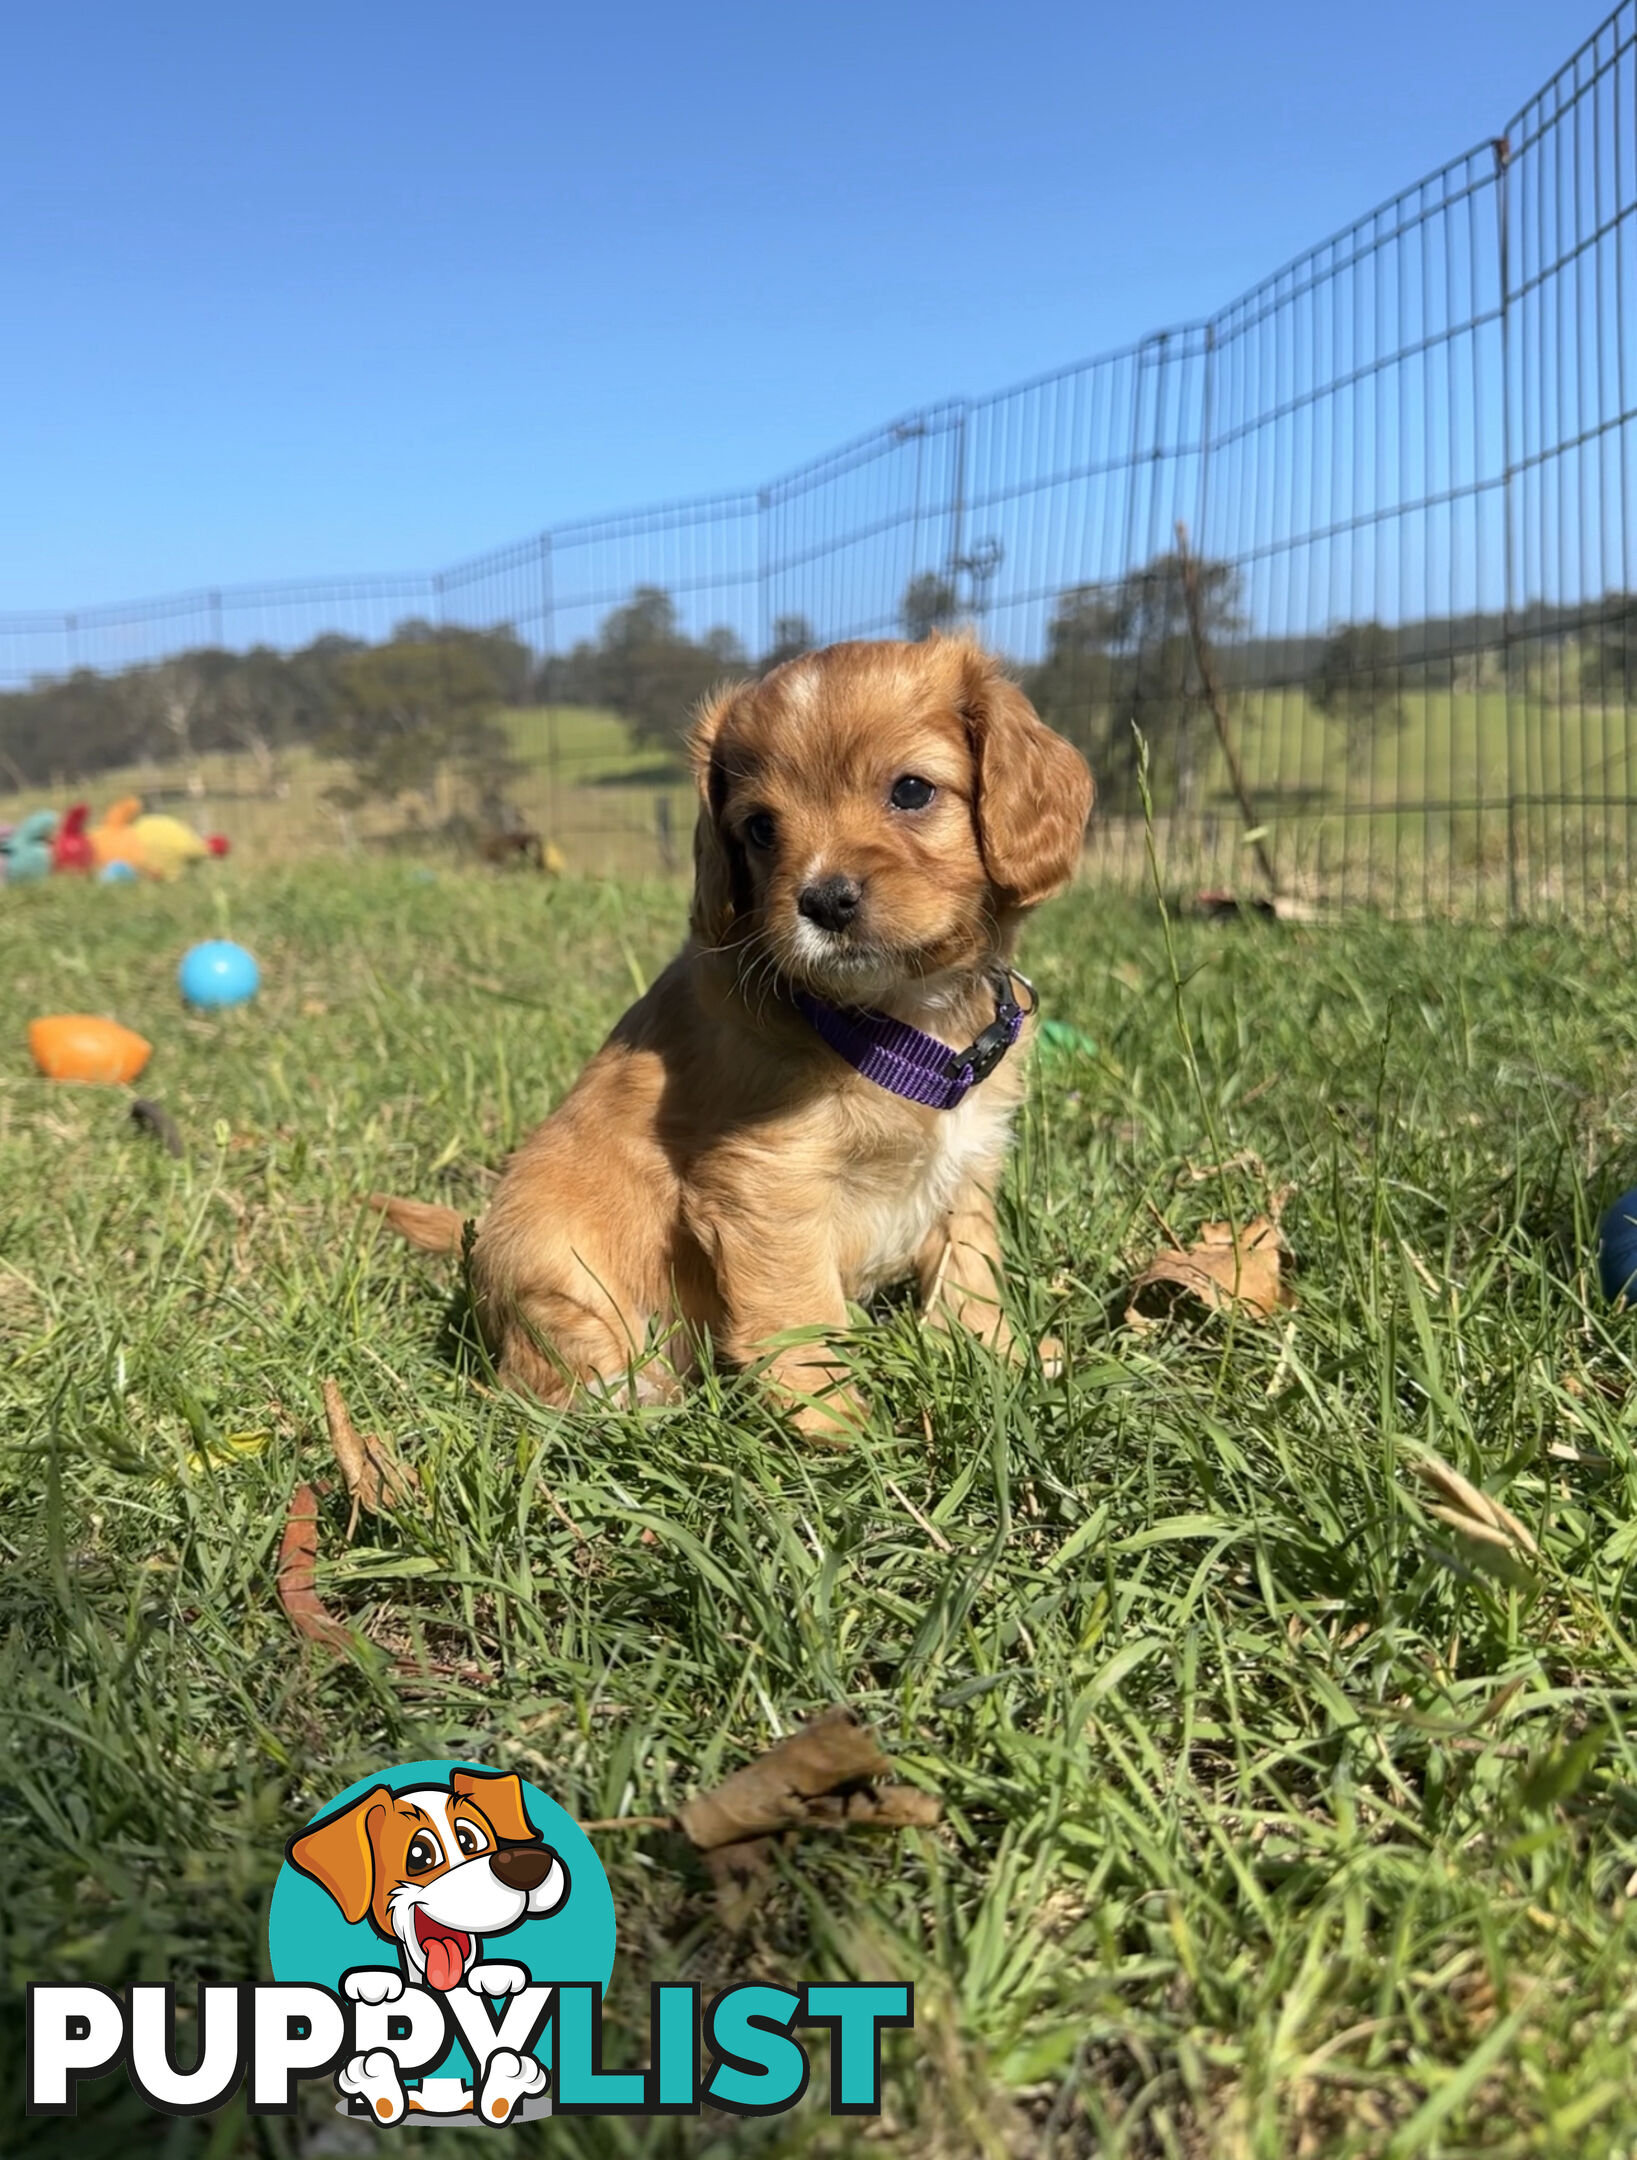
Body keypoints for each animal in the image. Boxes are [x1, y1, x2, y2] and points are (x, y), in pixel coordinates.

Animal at [371, 630, 1088, 1434]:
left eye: (910, 790)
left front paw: (997, 1359)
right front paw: (837, 1427)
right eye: (761, 829)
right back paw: (638, 1395)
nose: (823, 901)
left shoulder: (965, 1161)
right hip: (553, 1257)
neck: (898, 1024)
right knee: (540, 1376)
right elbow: (800, 1314)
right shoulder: (766, 1180)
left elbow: (969, 1273)